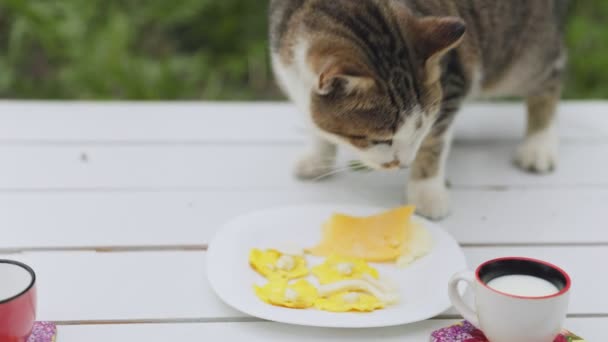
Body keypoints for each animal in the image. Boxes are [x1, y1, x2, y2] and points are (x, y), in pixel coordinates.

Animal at [268, 0, 568, 219]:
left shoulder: (453, 79)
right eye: (379, 140)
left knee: (551, 74)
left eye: (421, 127)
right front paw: (317, 157)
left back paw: (539, 144)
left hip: (521, 52)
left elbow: (435, 142)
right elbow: (316, 124)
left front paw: (425, 193)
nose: (403, 163)